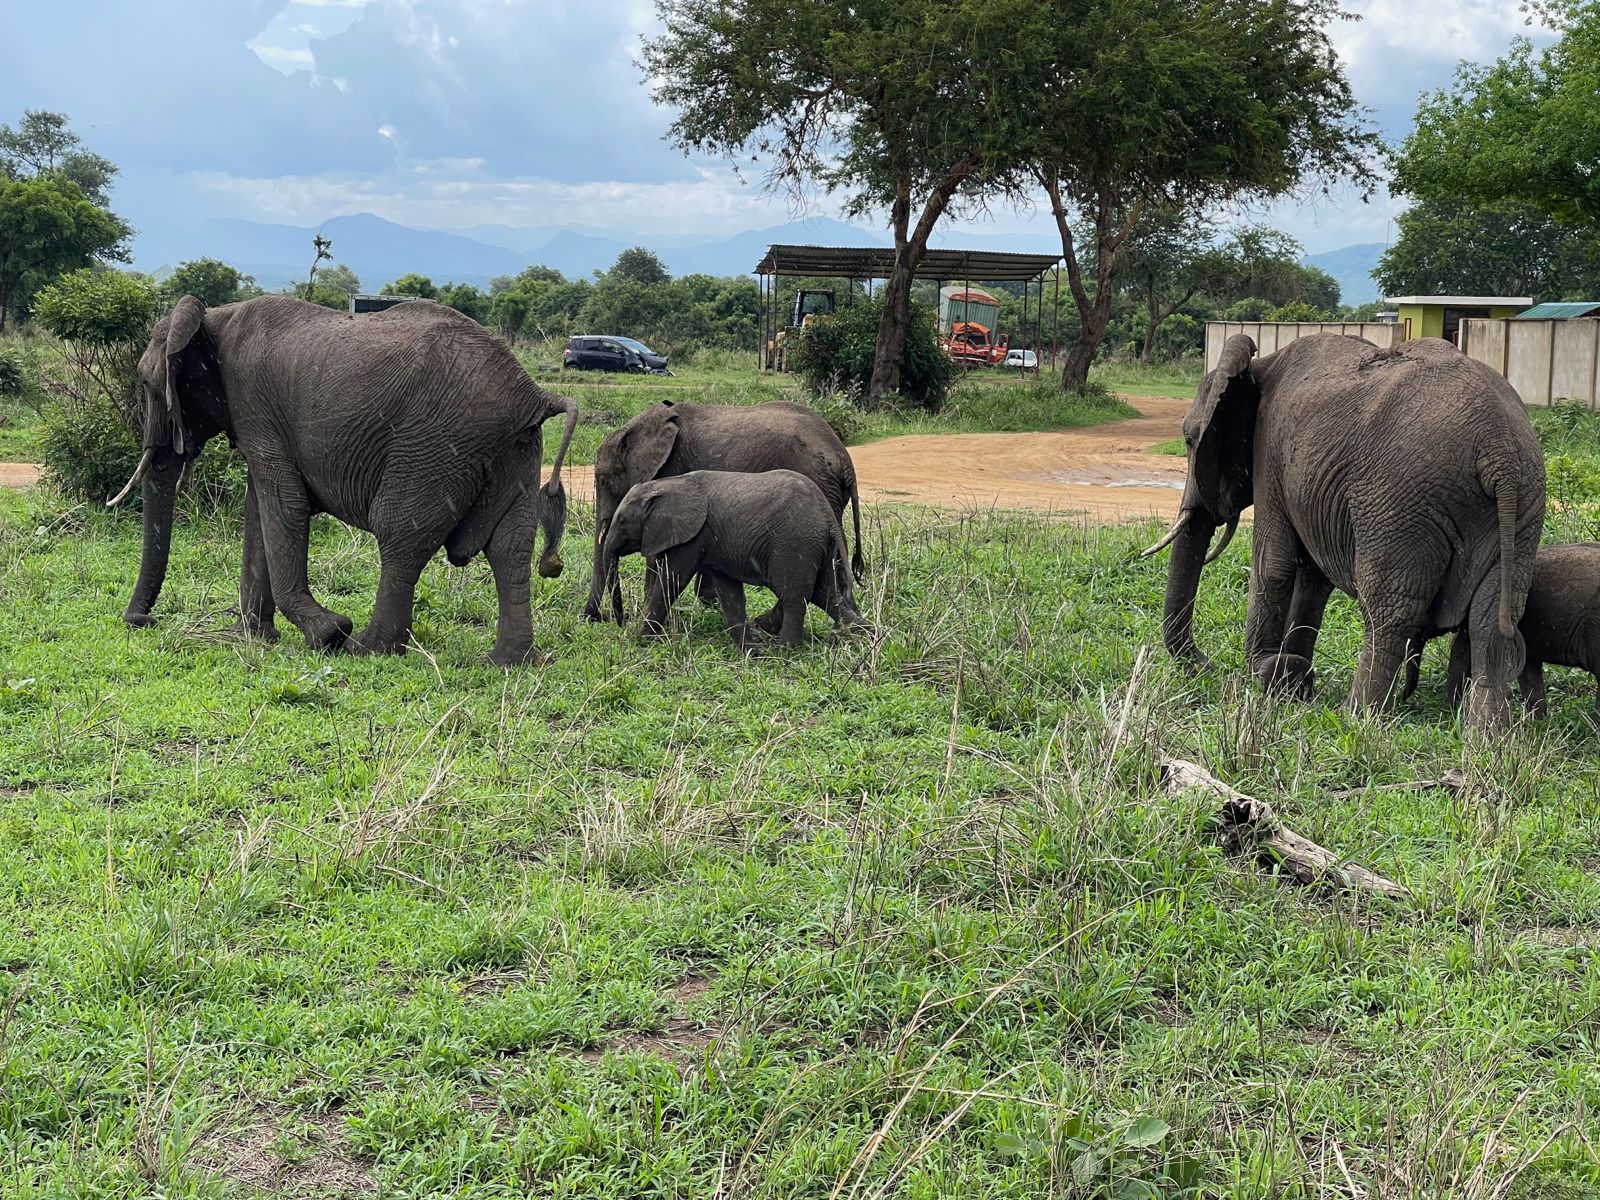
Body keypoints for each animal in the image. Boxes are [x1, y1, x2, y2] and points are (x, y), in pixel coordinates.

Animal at [116, 294, 582, 668]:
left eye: (149, 385)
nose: (145, 620)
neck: (213, 318)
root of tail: (530, 392)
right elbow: (260, 510)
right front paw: (258, 638)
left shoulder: (254, 405)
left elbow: (284, 503)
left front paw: (328, 633)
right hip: (515, 450)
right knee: (510, 548)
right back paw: (507, 662)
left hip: (435, 445)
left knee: (399, 534)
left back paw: (367, 649)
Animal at [598, 470, 864, 649]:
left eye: (622, 521)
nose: (621, 621)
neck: (667, 484)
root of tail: (828, 516)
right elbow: (729, 591)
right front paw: (751, 652)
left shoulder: (693, 536)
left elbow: (673, 580)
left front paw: (641, 640)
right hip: (818, 548)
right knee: (826, 596)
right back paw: (865, 638)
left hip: (796, 544)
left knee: (795, 597)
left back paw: (786, 651)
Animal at [1145, 334, 1542, 739]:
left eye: (1189, 439)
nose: (1206, 666)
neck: (1257, 367)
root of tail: (1498, 451)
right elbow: (1313, 578)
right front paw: (1294, 677)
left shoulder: (1269, 453)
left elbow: (1273, 564)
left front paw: (1268, 672)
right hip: (1522, 510)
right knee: (1490, 621)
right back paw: (1488, 735)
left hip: (1397, 508)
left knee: (1389, 613)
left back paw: (1358, 717)